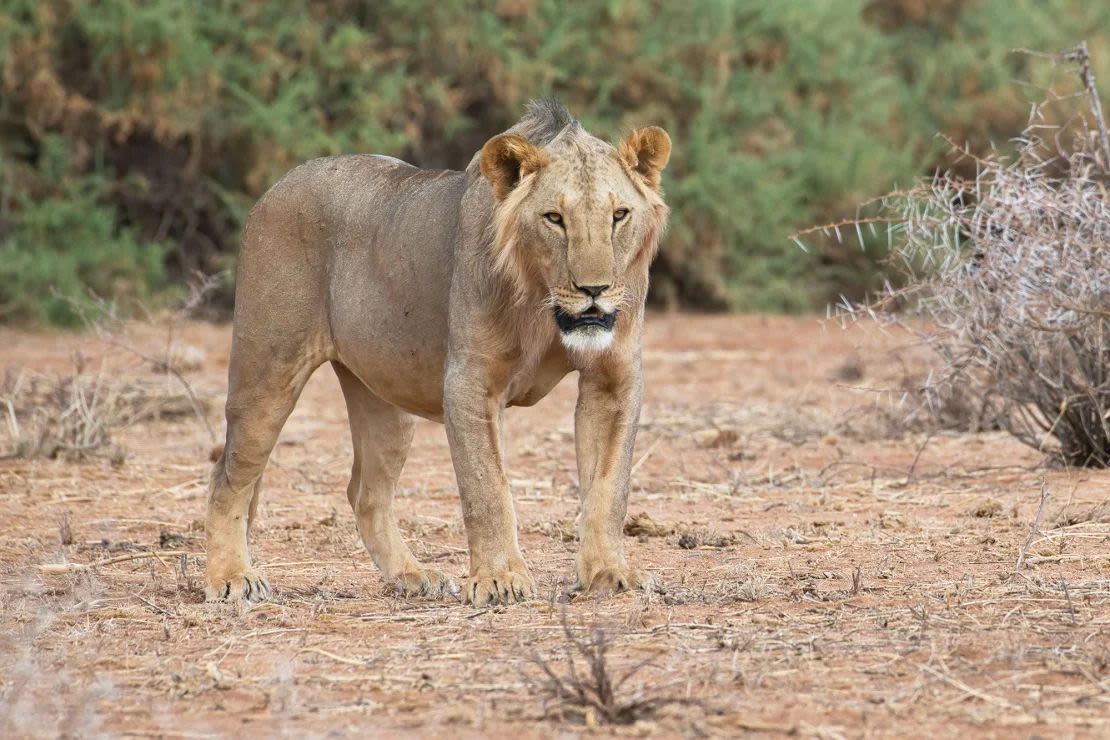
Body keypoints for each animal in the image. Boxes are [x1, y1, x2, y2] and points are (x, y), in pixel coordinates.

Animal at [208, 99, 674, 607]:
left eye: (619, 215)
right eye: (554, 218)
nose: (595, 290)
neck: (543, 306)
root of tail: (276, 187)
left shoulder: (613, 380)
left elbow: (609, 488)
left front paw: (610, 573)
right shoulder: (470, 383)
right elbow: (487, 489)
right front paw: (500, 578)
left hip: (386, 401)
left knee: (366, 493)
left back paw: (413, 576)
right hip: (268, 371)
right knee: (228, 475)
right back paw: (232, 577)